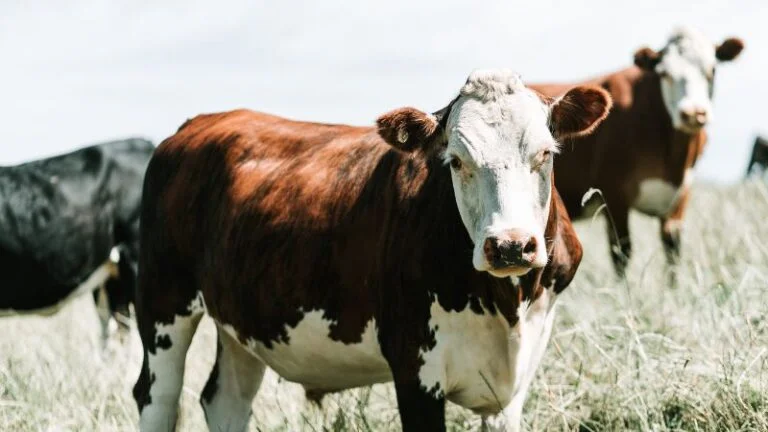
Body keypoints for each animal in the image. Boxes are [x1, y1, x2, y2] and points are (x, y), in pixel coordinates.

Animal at [132, 69, 611, 431]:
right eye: (456, 160)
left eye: (545, 154)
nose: (510, 245)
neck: (505, 304)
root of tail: (198, 124)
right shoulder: (415, 372)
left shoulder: (513, 387)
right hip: (162, 303)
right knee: (157, 396)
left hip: (240, 322)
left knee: (225, 400)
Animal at [531, 27, 744, 274]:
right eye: (665, 73)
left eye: (712, 70)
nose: (693, 113)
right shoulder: (613, 196)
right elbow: (621, 254)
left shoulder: (679, 199)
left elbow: (672, 253)